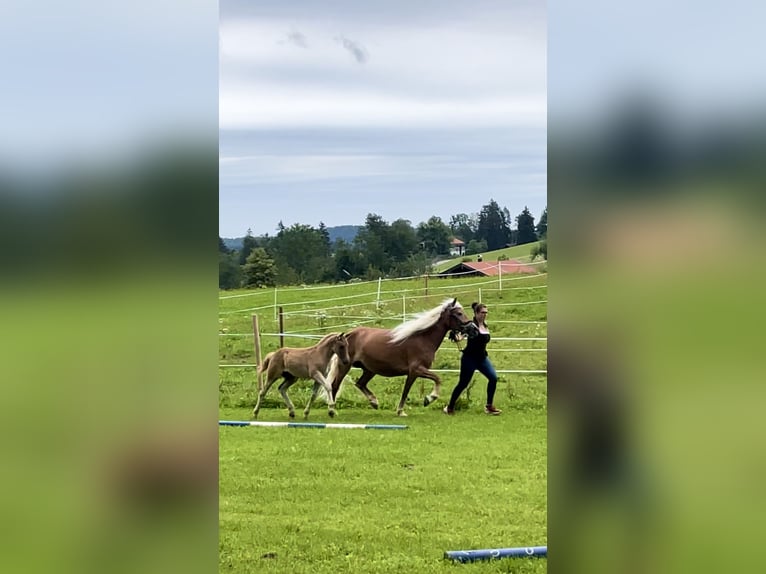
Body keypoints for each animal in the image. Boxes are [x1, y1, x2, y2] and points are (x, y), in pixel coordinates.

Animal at [328, 302, 476, 418]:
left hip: (370, 370)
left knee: (360, 384)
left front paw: (403, 410)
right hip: (345, 366)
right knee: (335, 386)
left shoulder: (416, 372)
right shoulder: (416, 370)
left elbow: (410, 389)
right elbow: (433, 380)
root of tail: (348, 334)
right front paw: (427, 400)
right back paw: (332, 411)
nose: (473, 329)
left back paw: (374, 402)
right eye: (459, 313)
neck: (423, 339)